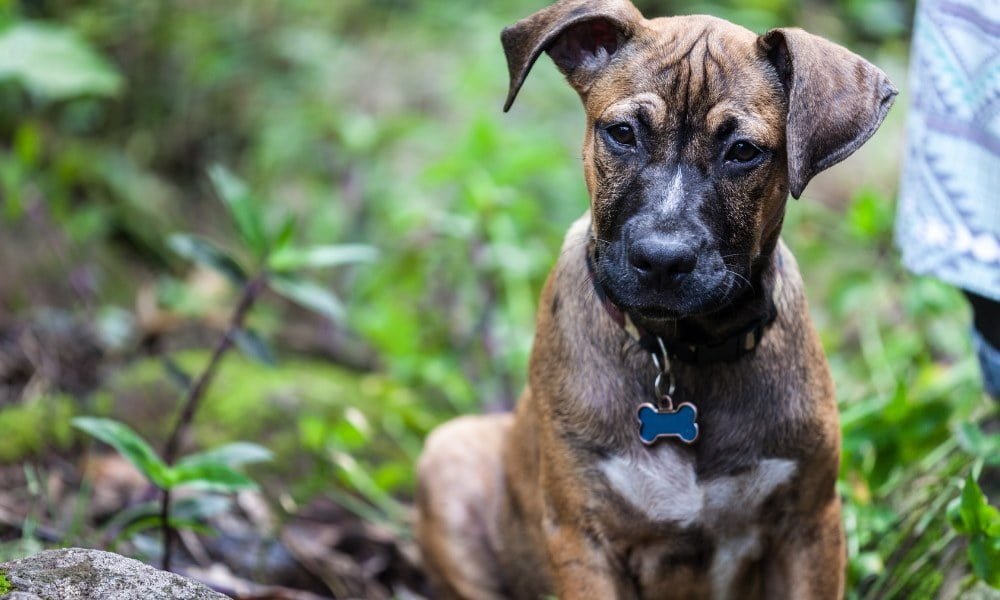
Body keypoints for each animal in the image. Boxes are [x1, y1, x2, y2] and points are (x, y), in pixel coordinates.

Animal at [410, 1, 896, 600]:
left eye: (743, 152)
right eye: (622, 133)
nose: (662, 260)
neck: (681, 350)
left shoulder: (809, 526)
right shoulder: (582, 536)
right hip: (447, 454)